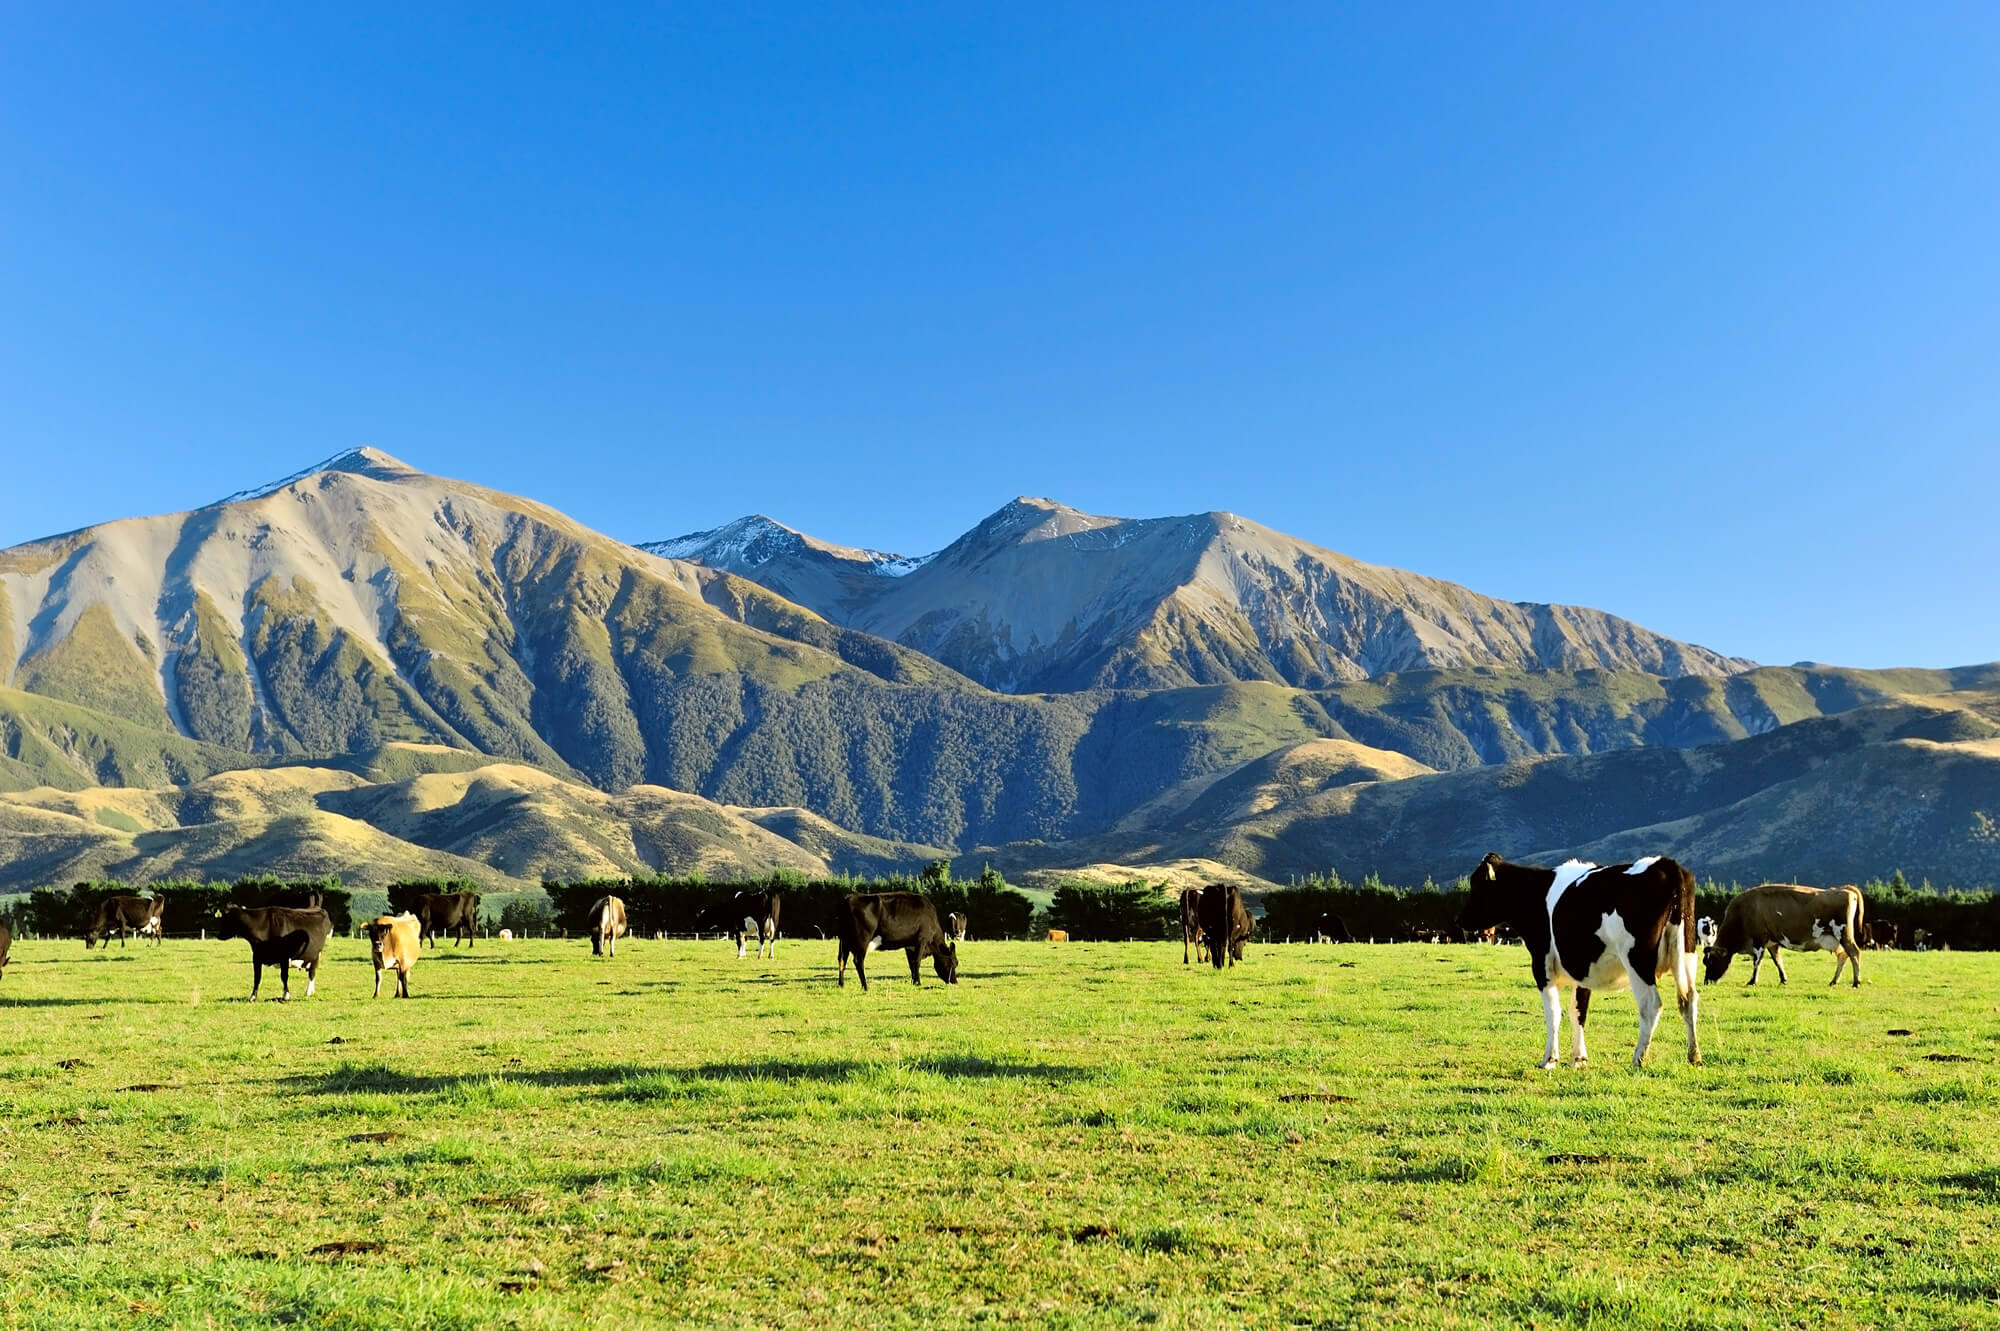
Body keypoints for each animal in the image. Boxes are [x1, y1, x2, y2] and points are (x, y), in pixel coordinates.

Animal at [1464, 851, 1696, 1071]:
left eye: (1477, 884)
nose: (1461, 920)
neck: (1535, 893)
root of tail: (1667, 863)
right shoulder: (1583, 971)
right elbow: (1578, 1012)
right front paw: (1578, 1059)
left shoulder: (1542, 965)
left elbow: (1553, 1013)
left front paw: (1549, 1059)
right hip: (1686, 953)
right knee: (1689, 999)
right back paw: (1694, 1056)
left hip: (1637, 960)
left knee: (1651, 1005)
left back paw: (1638, 1058)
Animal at [1696, 879, 1864, 983]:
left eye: (1711, 961)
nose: (1707, 981)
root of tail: (1843, 889)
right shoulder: (1772, 943)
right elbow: (1778, 961)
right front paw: (1783, 979)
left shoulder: (1759, 940)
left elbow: (1757, 962)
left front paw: (1752, 981)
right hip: (1835, 940)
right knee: (1843, 956)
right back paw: (1834, 981)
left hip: (1843, 934)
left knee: (1854, 953)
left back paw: (1856, 981)